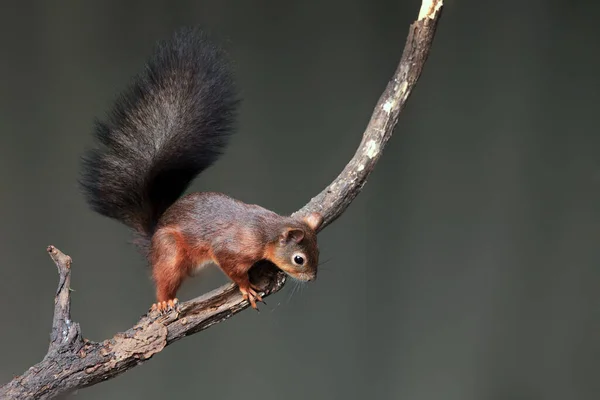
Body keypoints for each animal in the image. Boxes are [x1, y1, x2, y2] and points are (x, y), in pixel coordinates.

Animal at [81, 27, 324, 312]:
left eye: (319, 251)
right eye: (299, 259)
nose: (312, 278)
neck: (266, 232)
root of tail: (153, 236)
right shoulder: (229, 249)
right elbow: (233, 269)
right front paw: (246, 288)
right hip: (171, 252)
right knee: (165, 279)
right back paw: (164, 301)